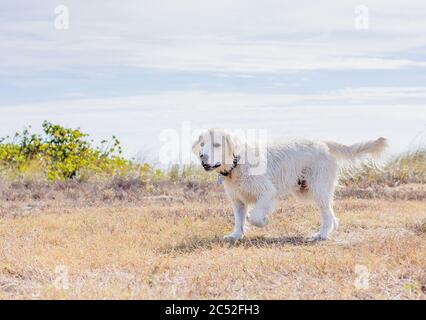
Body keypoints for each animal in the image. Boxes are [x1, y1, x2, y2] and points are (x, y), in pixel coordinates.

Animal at [193, 129, 390, 241]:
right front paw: (235, 236)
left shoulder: (267, 192)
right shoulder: (238, 201)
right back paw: (330, 230)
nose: (202, 156)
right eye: (202, 144)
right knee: (331, 214)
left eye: (216, 145)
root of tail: (323, 143)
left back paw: (322, 234)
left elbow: (253, 216)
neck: (237, 162)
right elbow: (240, 220)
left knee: (327, 213)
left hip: (317, 189)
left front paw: (263, 221)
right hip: (307, 191)